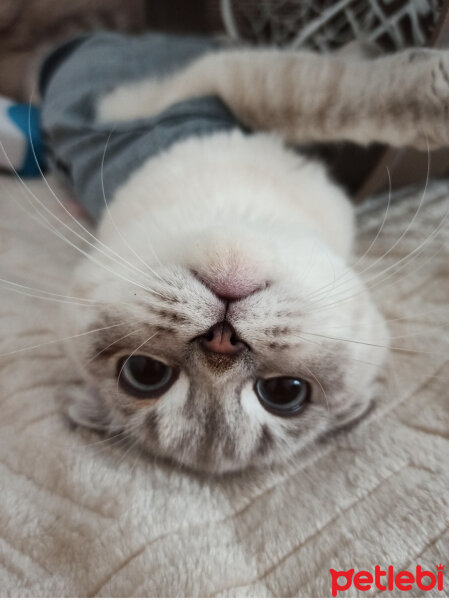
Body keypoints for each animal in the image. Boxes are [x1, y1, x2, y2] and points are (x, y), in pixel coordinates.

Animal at [59, 41, 448, 474]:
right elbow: (315, 89)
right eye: (144, 372)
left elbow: (320, 97)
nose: (222, 340)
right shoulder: (186, 87)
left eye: (283, 392)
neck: (240, 213)